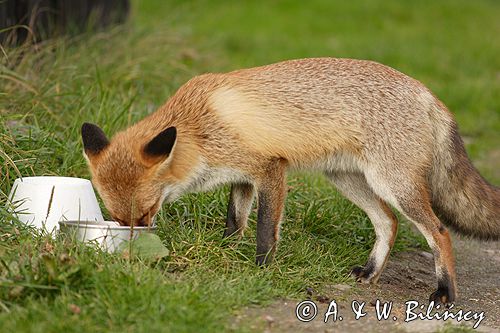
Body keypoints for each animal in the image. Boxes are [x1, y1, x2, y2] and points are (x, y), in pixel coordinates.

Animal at [82, 57, 500, 304]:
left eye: (147, 212)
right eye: (118, 220)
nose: (135, 246)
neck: (199, 127)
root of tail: (429, 93)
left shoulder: (270, 168)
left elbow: (266, 230)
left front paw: (262, 271)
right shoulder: (242, 177)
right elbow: (235, 222)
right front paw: (225, 254)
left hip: (392, 184)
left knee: (439, 232)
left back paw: (445, 291)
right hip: (348, 180)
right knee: (389, 223)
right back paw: (369, 273)